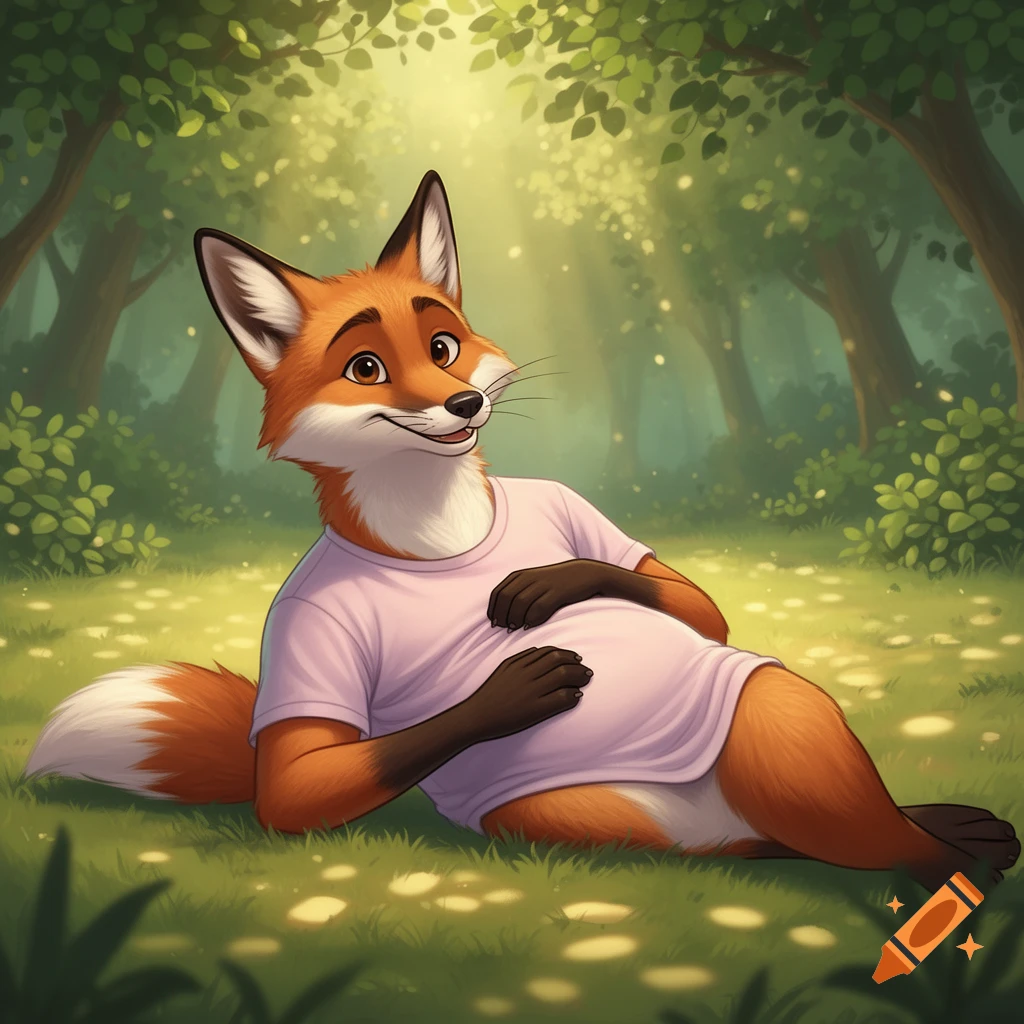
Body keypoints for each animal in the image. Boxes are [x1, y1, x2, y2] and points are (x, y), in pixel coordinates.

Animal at [25, 171, 1019, 894]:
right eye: (365, 367)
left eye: (442, 348)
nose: (463, 406)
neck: (441, 539)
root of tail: (728, 825)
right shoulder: (301, 643)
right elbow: (300, 785)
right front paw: (510, 689)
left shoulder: (586, 521)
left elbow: (686, 600)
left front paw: (549, 583)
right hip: (604, 812)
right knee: (829, 844)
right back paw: (939, 859)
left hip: (776, 719)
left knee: (863, 825)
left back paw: (949, 837)